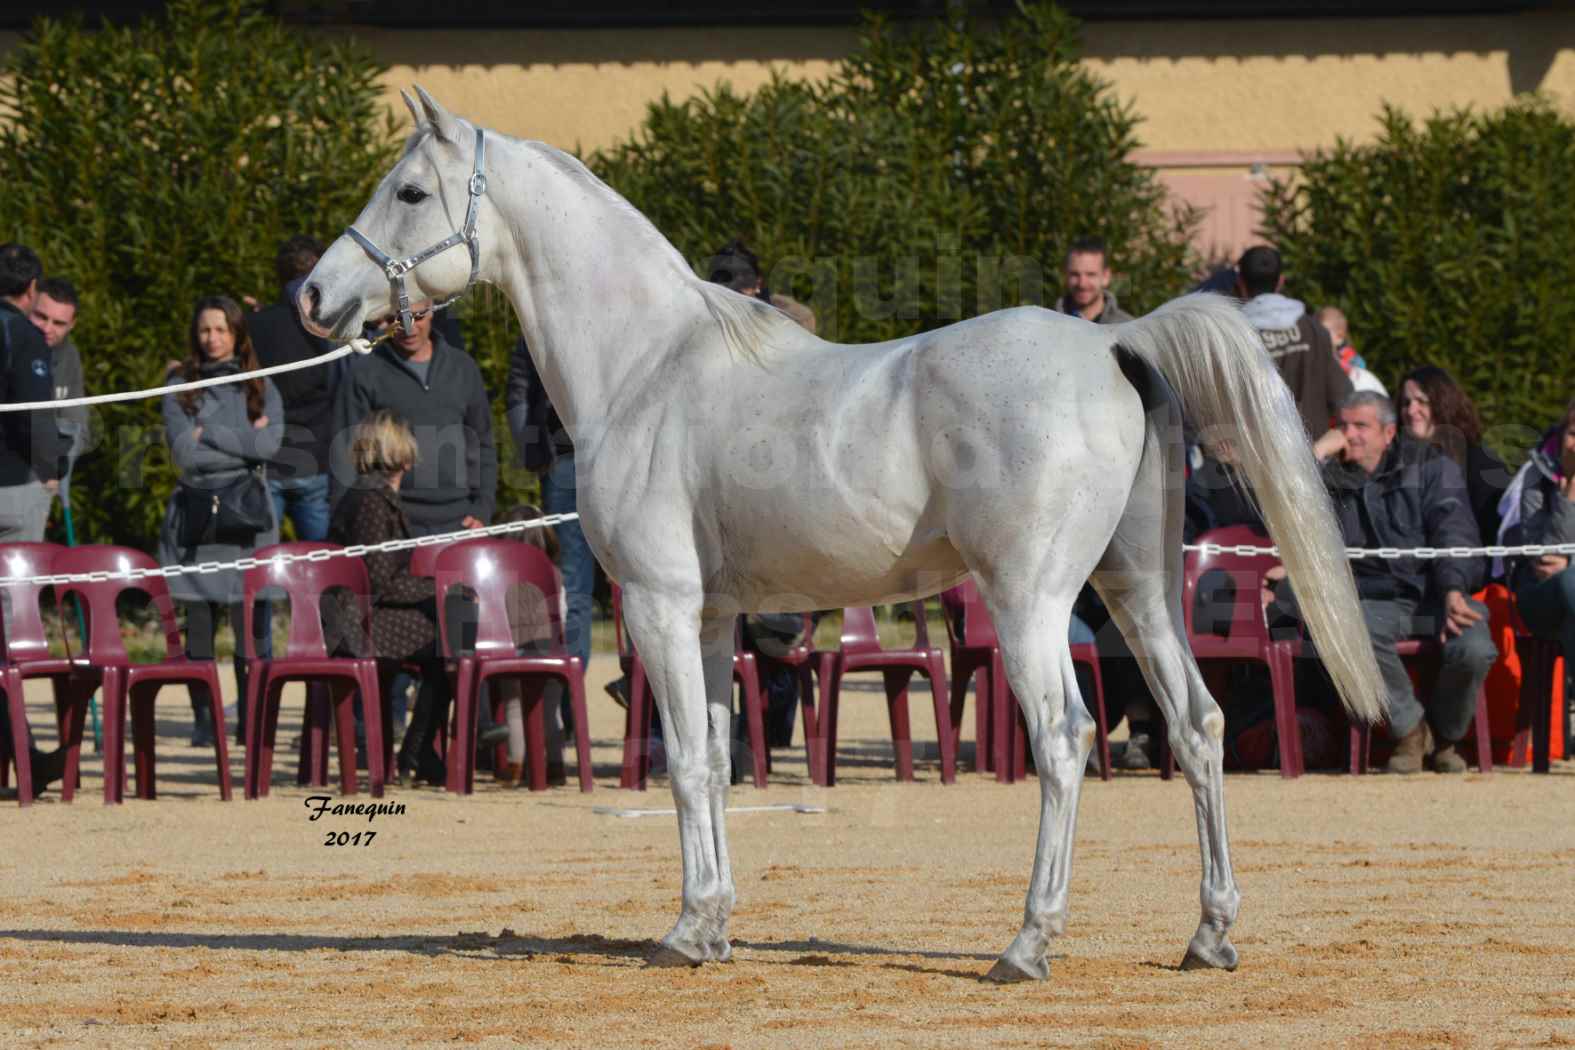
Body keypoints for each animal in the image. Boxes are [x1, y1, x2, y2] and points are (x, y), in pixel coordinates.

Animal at [300, 90, 1386, 988]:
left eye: (408, 190)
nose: (314, 298)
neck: (649, 366)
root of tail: (1111, 342)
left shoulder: (657, 606)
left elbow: (682, 760)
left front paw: (682, 934)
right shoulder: (711, 619)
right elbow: (719, 756)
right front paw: (713, 926)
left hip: (1032, 601)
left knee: (1065, 739)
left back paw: (1026, 946)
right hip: (1138, 591)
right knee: (1199, 728)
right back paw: (1208, 937)